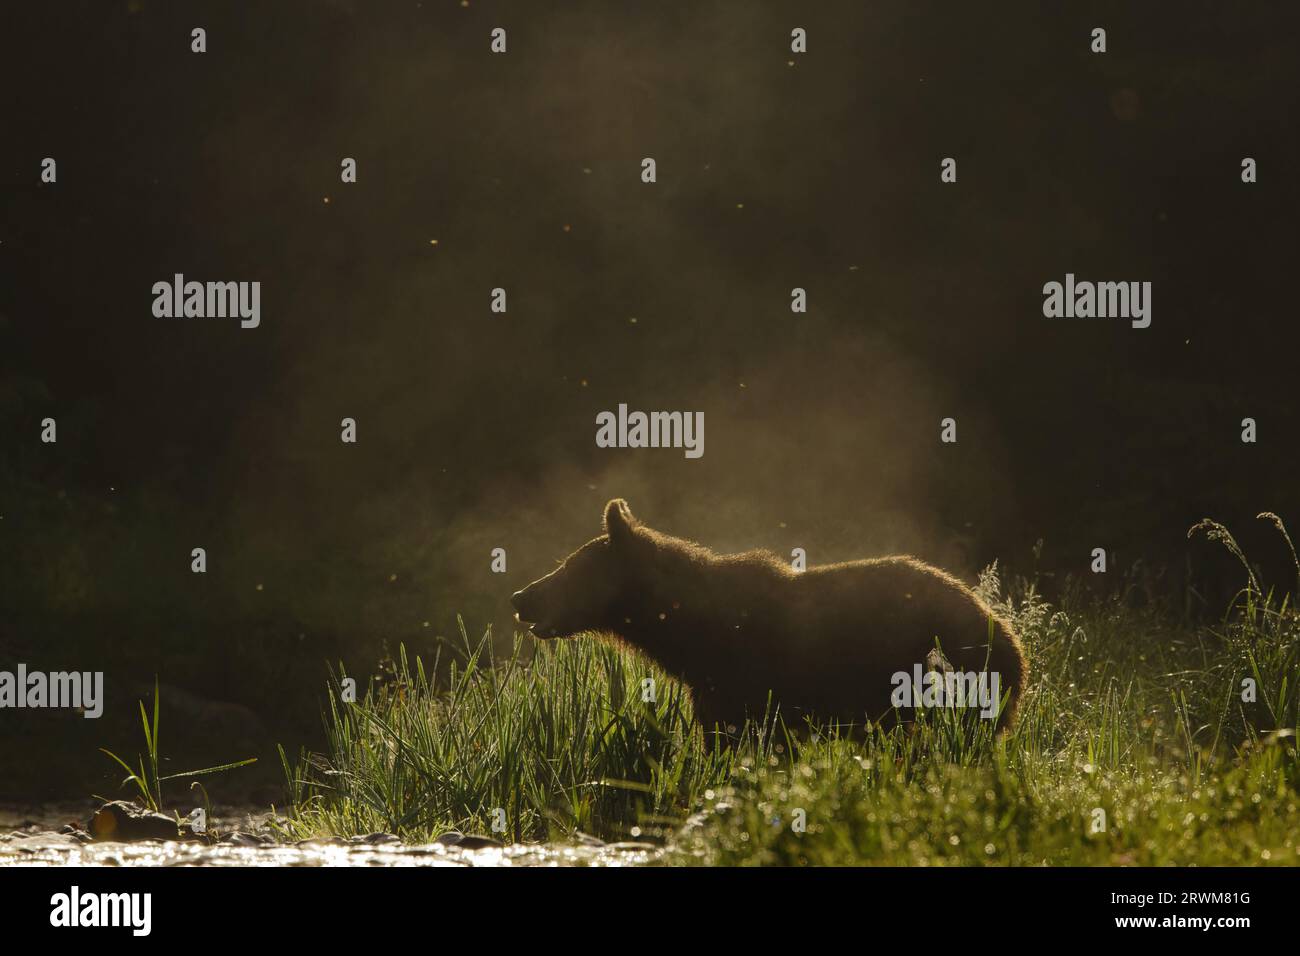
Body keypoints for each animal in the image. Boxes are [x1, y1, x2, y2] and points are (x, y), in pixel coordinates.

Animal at [506, 502, 1024, 749]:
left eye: (567, 567)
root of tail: (1008, 632)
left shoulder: (747, 683)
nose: (520, 596)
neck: (687, 632)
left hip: (948, 676)